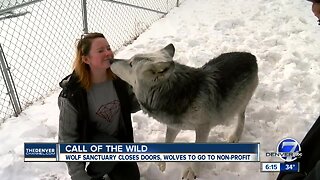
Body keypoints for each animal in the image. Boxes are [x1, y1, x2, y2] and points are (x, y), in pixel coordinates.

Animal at [111, 44, 258, 179]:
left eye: (131, 63)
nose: (111, 60)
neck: (174, 94)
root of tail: (250, 55)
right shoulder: (173, 126)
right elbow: (166, 143)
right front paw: (161, 165)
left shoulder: (203, 128)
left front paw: (192, 172)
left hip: (241, 103)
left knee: (241, 117)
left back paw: (235, 135)